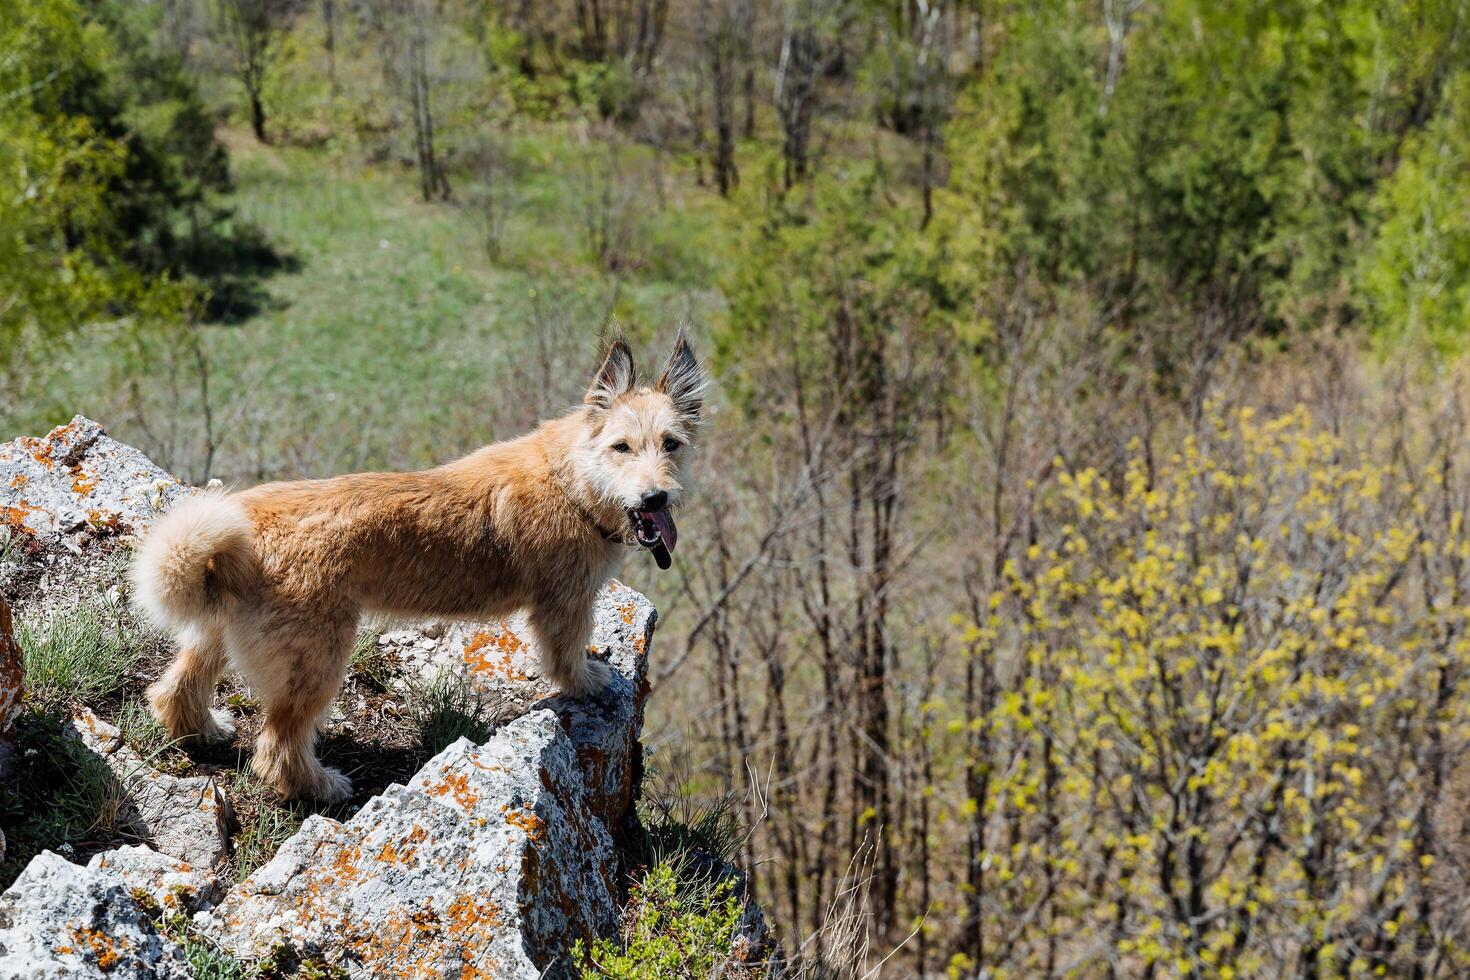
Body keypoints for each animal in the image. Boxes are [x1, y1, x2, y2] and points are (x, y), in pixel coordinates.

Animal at [132, 333, 705, 799]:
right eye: (621, 447)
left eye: (671, 444)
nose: (656, 496)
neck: (573, 480)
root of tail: (246, 527)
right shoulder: (566, 605)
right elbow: (565, 658)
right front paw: (589, 683)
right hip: (316, 662)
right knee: (276, 747)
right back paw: (320, 786)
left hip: (214, 633)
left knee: (173, 690)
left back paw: (202, 729)